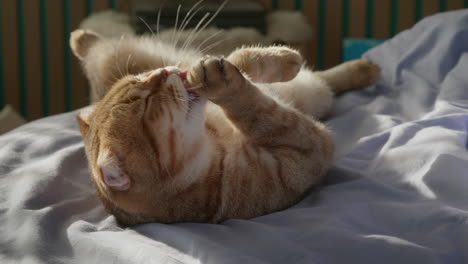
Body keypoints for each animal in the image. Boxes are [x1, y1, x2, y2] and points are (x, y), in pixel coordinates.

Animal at [72, 28, 380, 225]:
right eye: (146, 104)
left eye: (140, 78)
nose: (164, 71)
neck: (211, 144)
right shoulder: (305, 151)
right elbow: (258, 109)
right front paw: (226, 83)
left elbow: (238, 59)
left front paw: (279, 58)